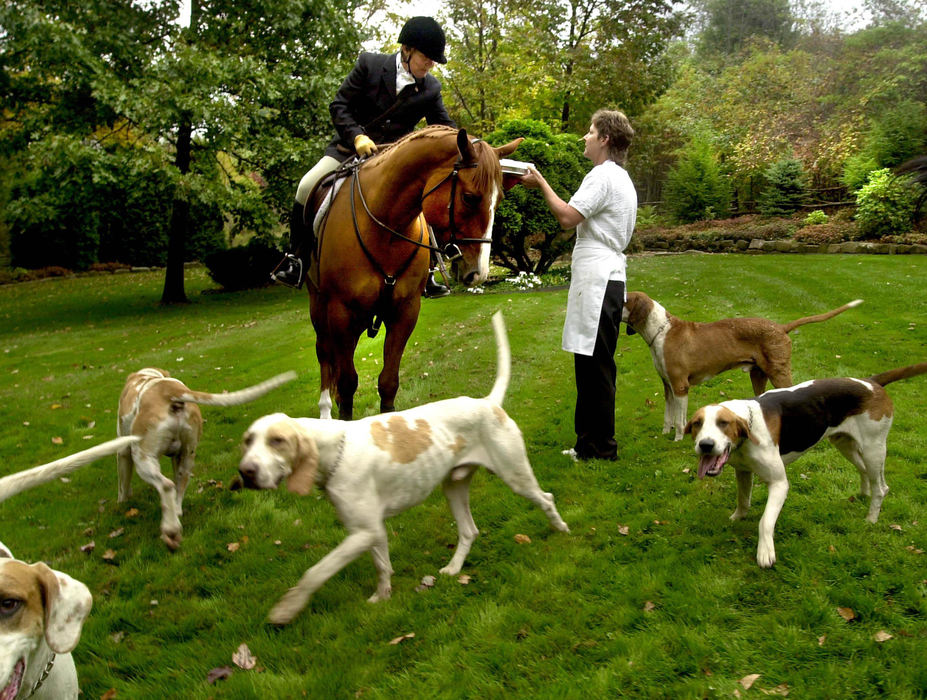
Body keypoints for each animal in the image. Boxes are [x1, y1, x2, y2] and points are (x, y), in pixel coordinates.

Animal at [306, 125, 520, 418]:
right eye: (469, 198)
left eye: (498, 201)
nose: (479, 272)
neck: (384, 231)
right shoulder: (341, 312)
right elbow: (348, 385)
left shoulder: (405, 311)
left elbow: (388, 383)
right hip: (320, 308)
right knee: (325, 354)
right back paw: (326, 411)